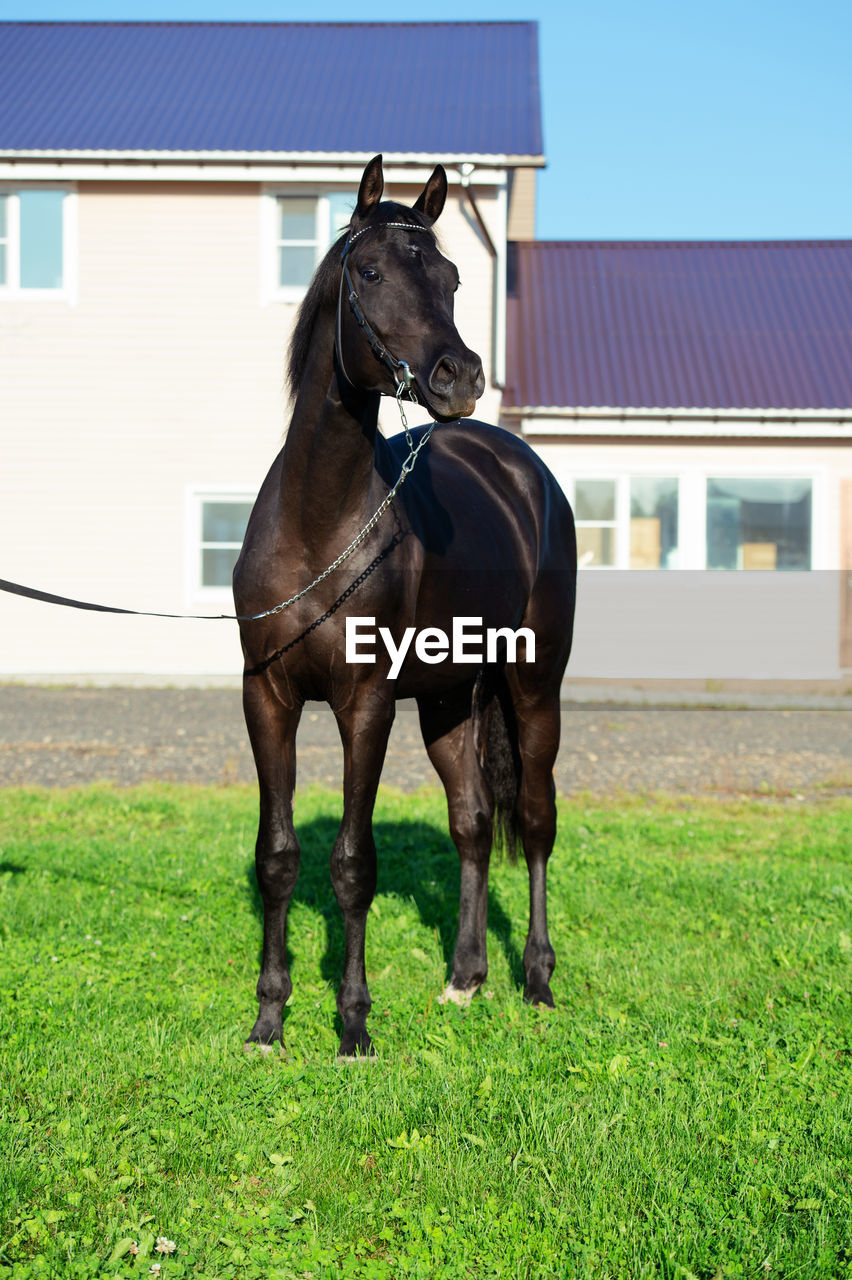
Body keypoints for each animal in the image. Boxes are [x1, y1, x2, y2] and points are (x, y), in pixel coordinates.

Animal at [235, 154, 573, 1054]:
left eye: (452, 278)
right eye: (373, 272)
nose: (461, 377)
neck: (319, 526)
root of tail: (520, 467)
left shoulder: (366, 704)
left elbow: (355, 863)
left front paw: (353, 1026)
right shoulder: (267, 698)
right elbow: (279, 855)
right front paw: (269, 1020)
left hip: (533, 688)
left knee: (533, 820)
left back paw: (536, 981)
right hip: (451, 699)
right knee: (472, 821)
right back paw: (465, 978)